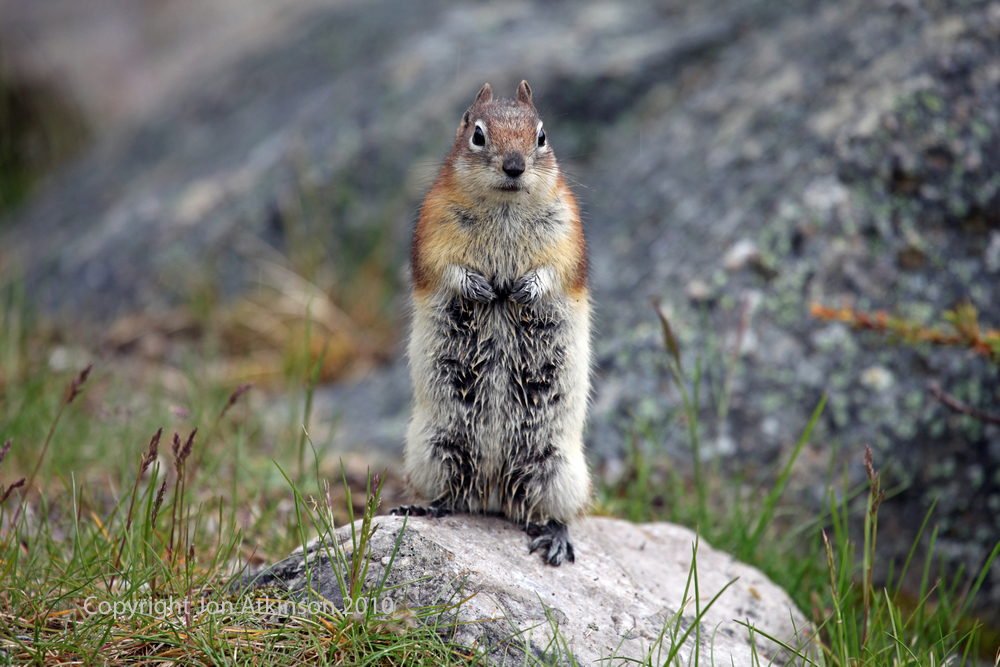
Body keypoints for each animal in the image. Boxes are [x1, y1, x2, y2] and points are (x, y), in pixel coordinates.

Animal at [391, 80, 592, 566]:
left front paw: (524, 290)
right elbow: (444, 267)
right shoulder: (434, 225)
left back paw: (555, 538)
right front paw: (480, 287)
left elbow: (555, 269)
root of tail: (495, 491)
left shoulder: (567, 231)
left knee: (551, 510)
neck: (505, 205)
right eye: (477, 135)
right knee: (453, 494)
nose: (514, 166)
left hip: (557, 467)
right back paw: (425, 508)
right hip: (434, 448)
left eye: (542, 136)